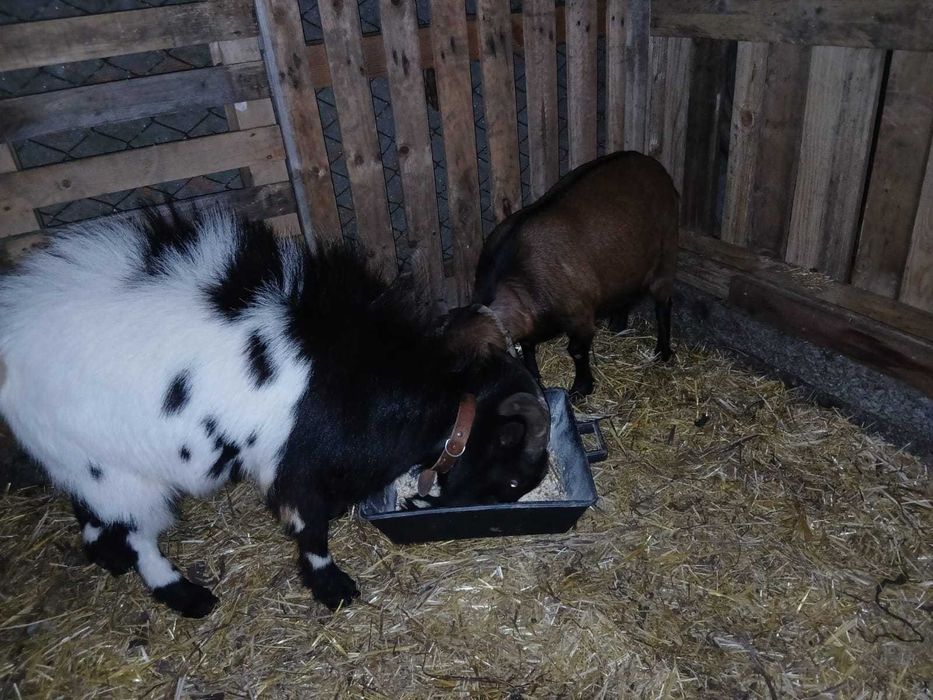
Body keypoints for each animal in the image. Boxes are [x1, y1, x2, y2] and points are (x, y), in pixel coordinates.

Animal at [0, 208, 549, 617]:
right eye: (513, 478)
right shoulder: (298, 467)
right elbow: (311, 528)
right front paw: (332, 587)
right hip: (114, 468)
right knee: (139, 534)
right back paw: (184, 595)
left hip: (79, 456)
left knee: (90, 507)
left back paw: (105, 554)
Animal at [444, 151, 679, 398]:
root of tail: (651, 162)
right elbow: (527, 345)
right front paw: (535, 378)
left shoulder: (580, 314)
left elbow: (576, 350)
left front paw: (580, 389)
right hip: (627, 264)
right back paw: (617, 327)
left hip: (667, 252)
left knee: (663, 304)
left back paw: (663, 351)